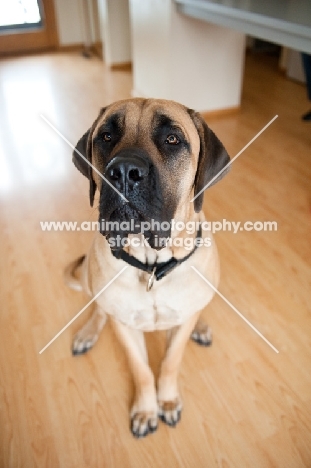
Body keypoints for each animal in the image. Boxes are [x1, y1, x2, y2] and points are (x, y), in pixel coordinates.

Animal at [66, 97, 230, 436]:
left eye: (172, 139)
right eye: (106, 136)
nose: (124, 172)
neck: (152, 267)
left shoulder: (180, 327)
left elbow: (170, 361)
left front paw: (166, 401)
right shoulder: (125, 326)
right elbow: (141, 369)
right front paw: (145, 409)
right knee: (98, 309)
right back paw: (88, 332)